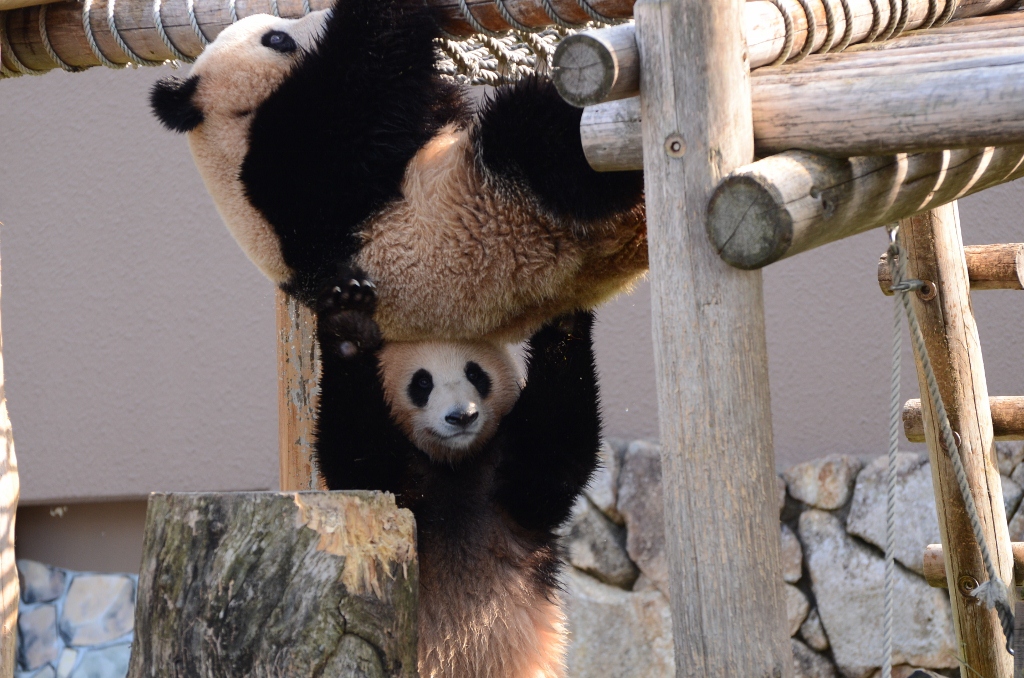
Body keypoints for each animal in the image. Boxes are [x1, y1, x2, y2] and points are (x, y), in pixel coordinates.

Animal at [149, 0, 647, 342]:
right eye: (277, 38)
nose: (320, 14)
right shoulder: (283, 175)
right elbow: (359, 102)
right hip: (503, 213)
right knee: (538, 142)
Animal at [315, 270, 602, 678]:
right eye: (422, 382)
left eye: (475, 373)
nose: (461, 416)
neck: (453, 464)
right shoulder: (391, 489)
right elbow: (357, 457)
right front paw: (348, 325)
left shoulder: (512, 494)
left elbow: (556, 450)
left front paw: (563, 316)